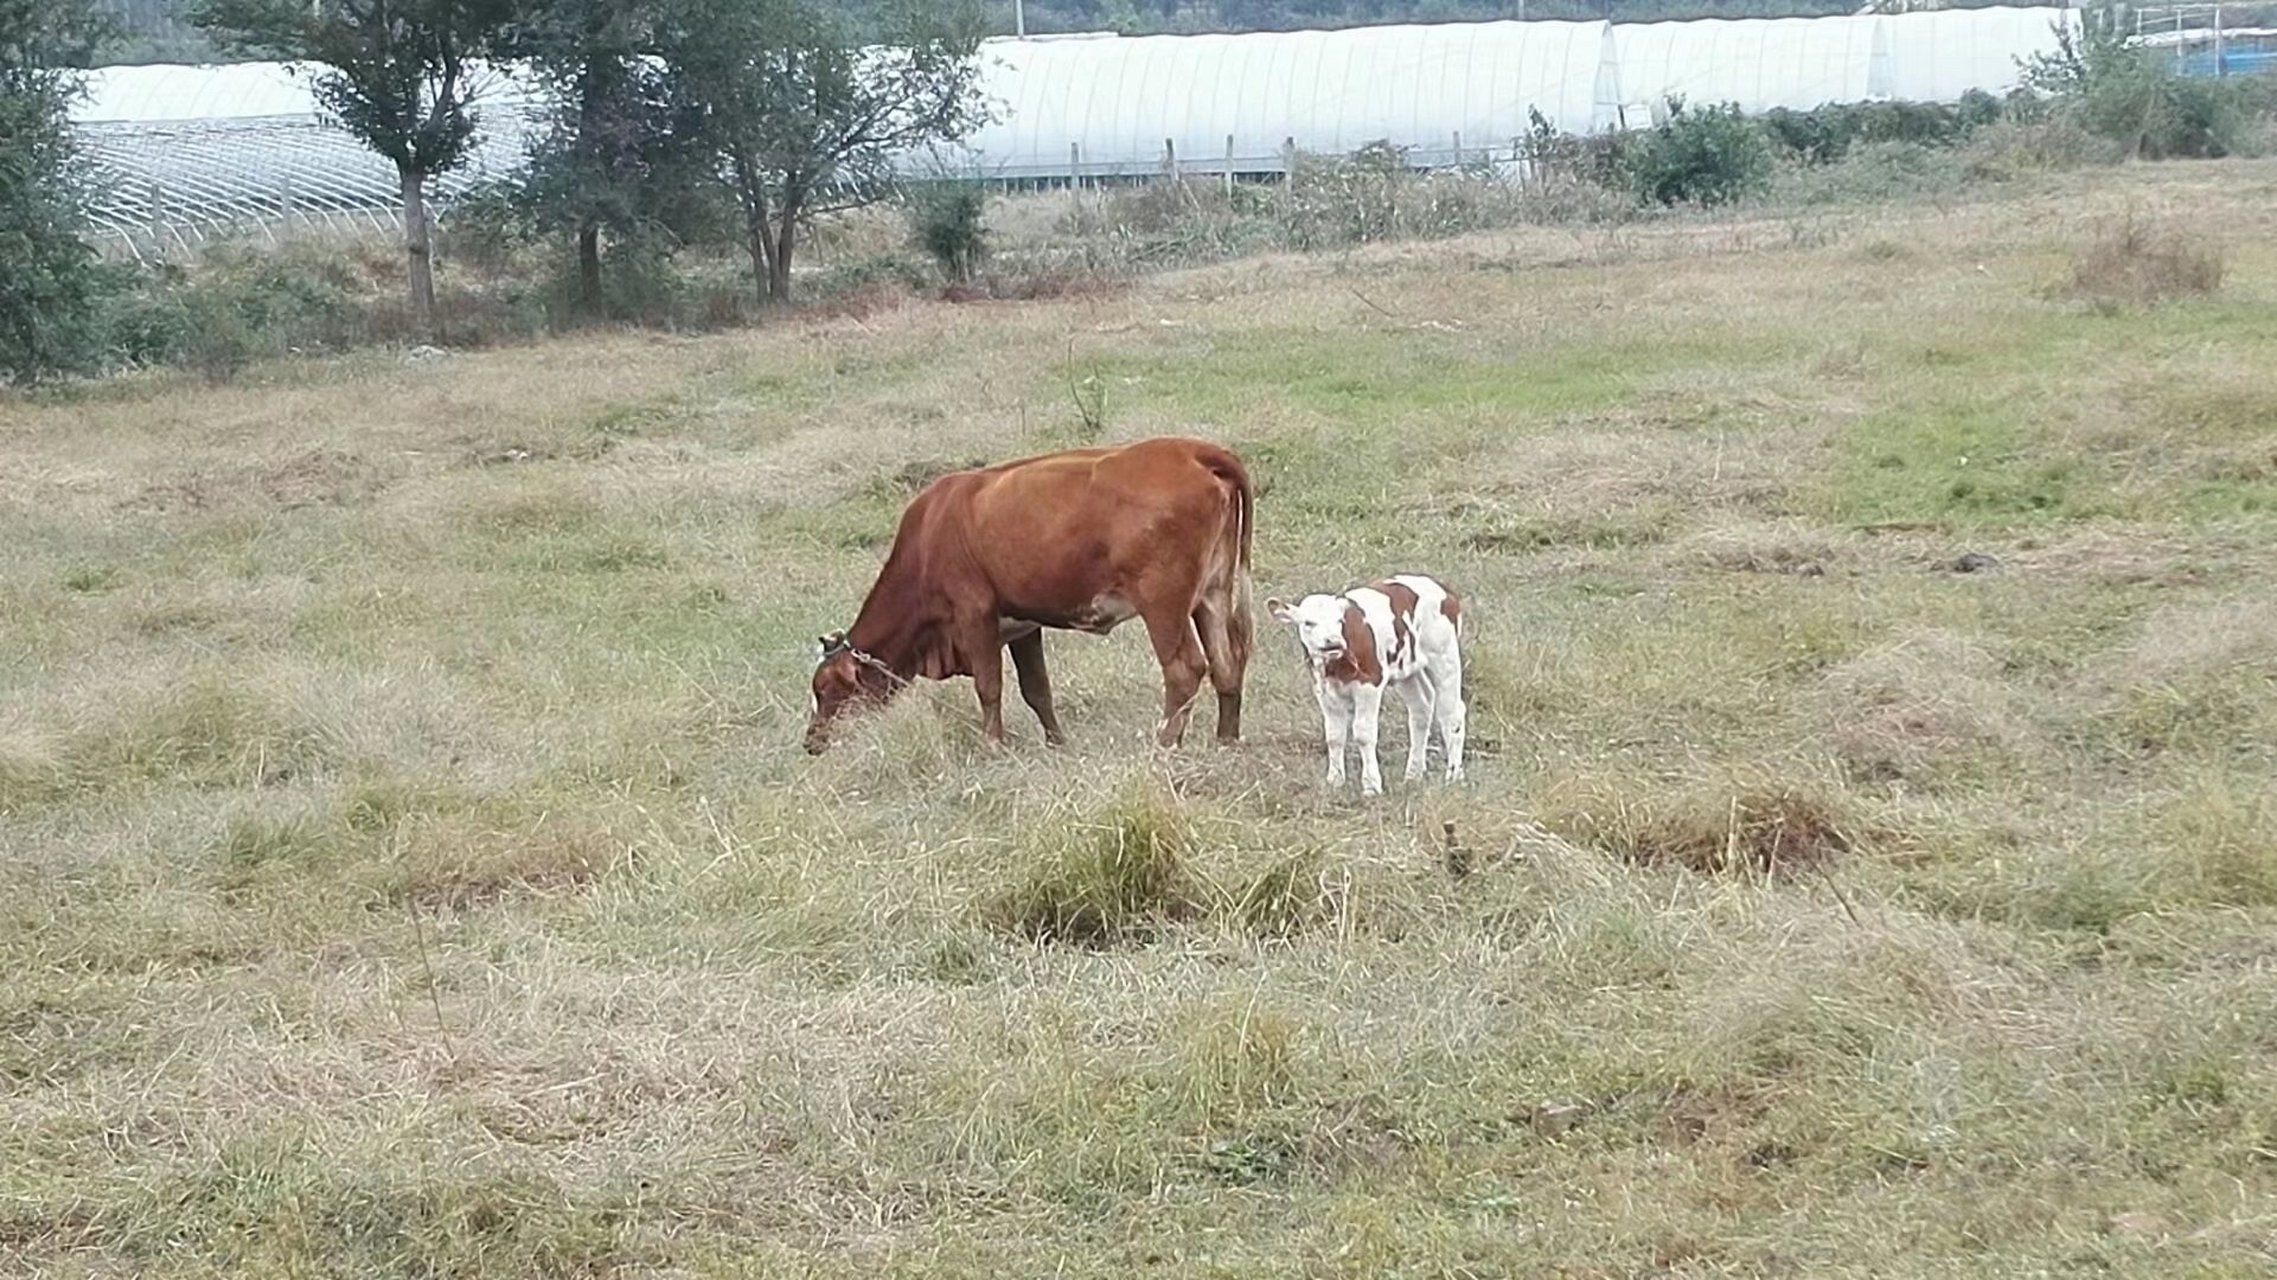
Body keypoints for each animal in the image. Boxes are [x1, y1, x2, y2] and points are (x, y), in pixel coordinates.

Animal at [806, 432, 1266, 751]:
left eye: (825, 688)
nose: (812, 742)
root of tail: (1191, 449)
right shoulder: (1023, 626)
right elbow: (1037, 689)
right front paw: (1055, 743)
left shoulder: (974, 614)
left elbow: (989, 687)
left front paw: (993, 746)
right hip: (1211, 595)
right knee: (1226, 664)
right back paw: (1226, 741)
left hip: (1164, 605)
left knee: (1185, 669)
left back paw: (1165, 743)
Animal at [1256, 573, 1466, 792]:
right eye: (1308, 622)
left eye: (1339, 621)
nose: (1333, 642)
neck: (1335, 668)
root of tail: (1442, 590)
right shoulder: (1323, 689)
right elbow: (1334, 736)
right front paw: (1335, 780)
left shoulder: (1369, 684)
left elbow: (1364, 733)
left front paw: (1371, 785)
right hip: (1407, 670)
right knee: (1421, 709)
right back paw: (1413, 774)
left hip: (1445, 656)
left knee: (1452, 713)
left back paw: (1454, 775)